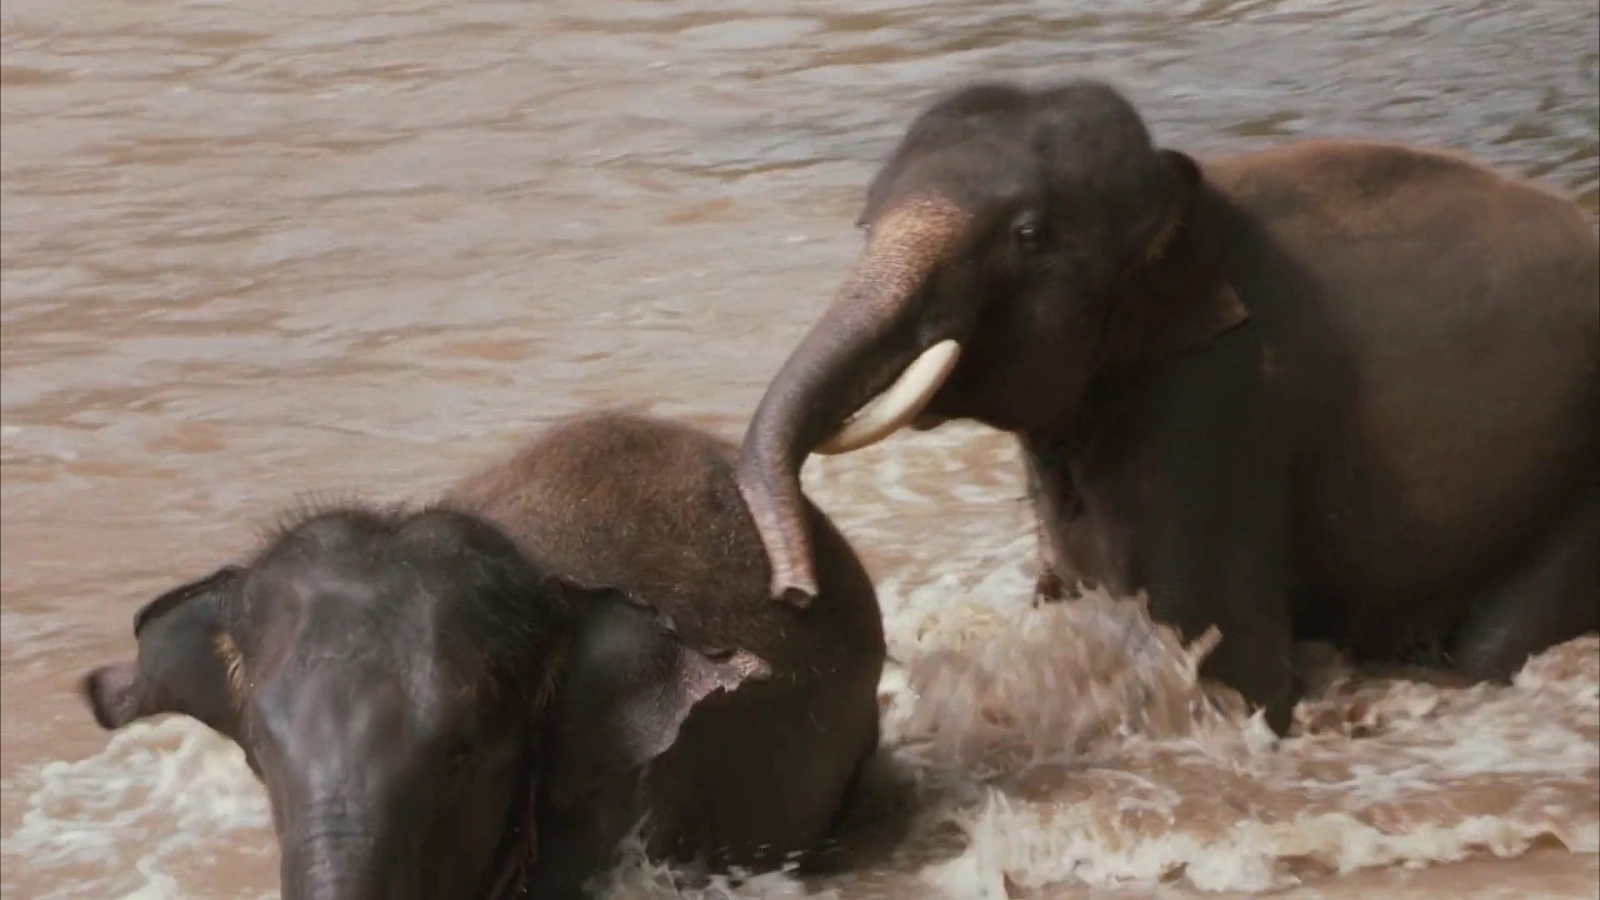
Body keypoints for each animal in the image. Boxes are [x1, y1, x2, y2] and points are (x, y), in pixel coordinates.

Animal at [735, 79, 1599, 736]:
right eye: (864, 223)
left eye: (1028, 236)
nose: (795, 592)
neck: (1182, 195)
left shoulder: (1216, 402)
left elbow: (1236, 664)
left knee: (1505, 641)